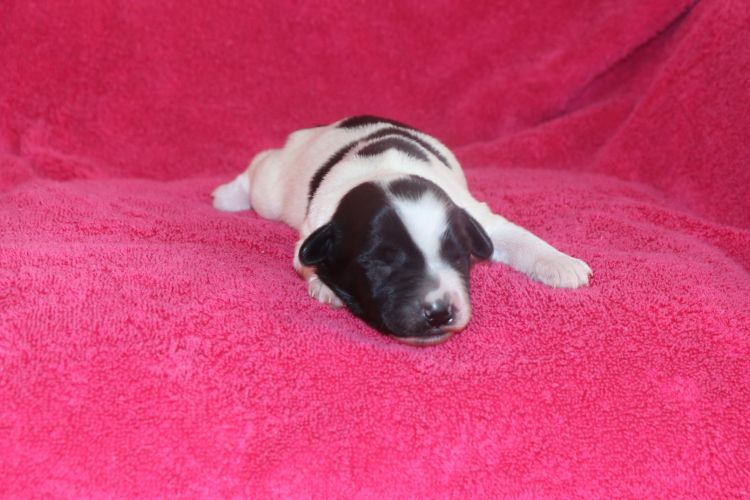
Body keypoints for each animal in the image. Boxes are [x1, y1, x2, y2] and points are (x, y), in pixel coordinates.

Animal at [212, 116, 591, 345]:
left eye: (457, 256)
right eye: (381, 264)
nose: (439, 311)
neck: (385, 171)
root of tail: (322, 127)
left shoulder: (474, 215)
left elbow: (519, 237)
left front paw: (560, 262)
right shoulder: (312, 231)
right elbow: (304, 261)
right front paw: (324, 286)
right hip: (273, 189)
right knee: (259, 167)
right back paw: (226, 197)